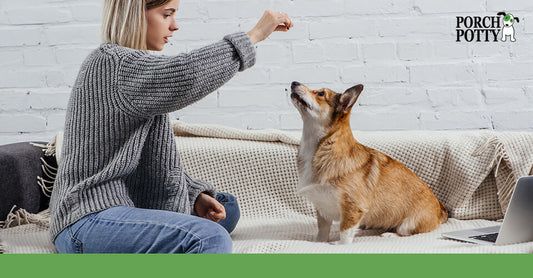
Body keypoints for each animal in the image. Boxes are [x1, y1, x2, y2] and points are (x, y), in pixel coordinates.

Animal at [288, 80, 446, 243]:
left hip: (408, 224)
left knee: (405, 232)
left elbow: (345, 232)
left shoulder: (352, 208)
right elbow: (322, 231)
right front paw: (320, 242)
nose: (294, 82)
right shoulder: (322, 208)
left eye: (320, 93)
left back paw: (389, 234)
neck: (319, 146)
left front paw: (339, 245)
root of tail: (440, 208)